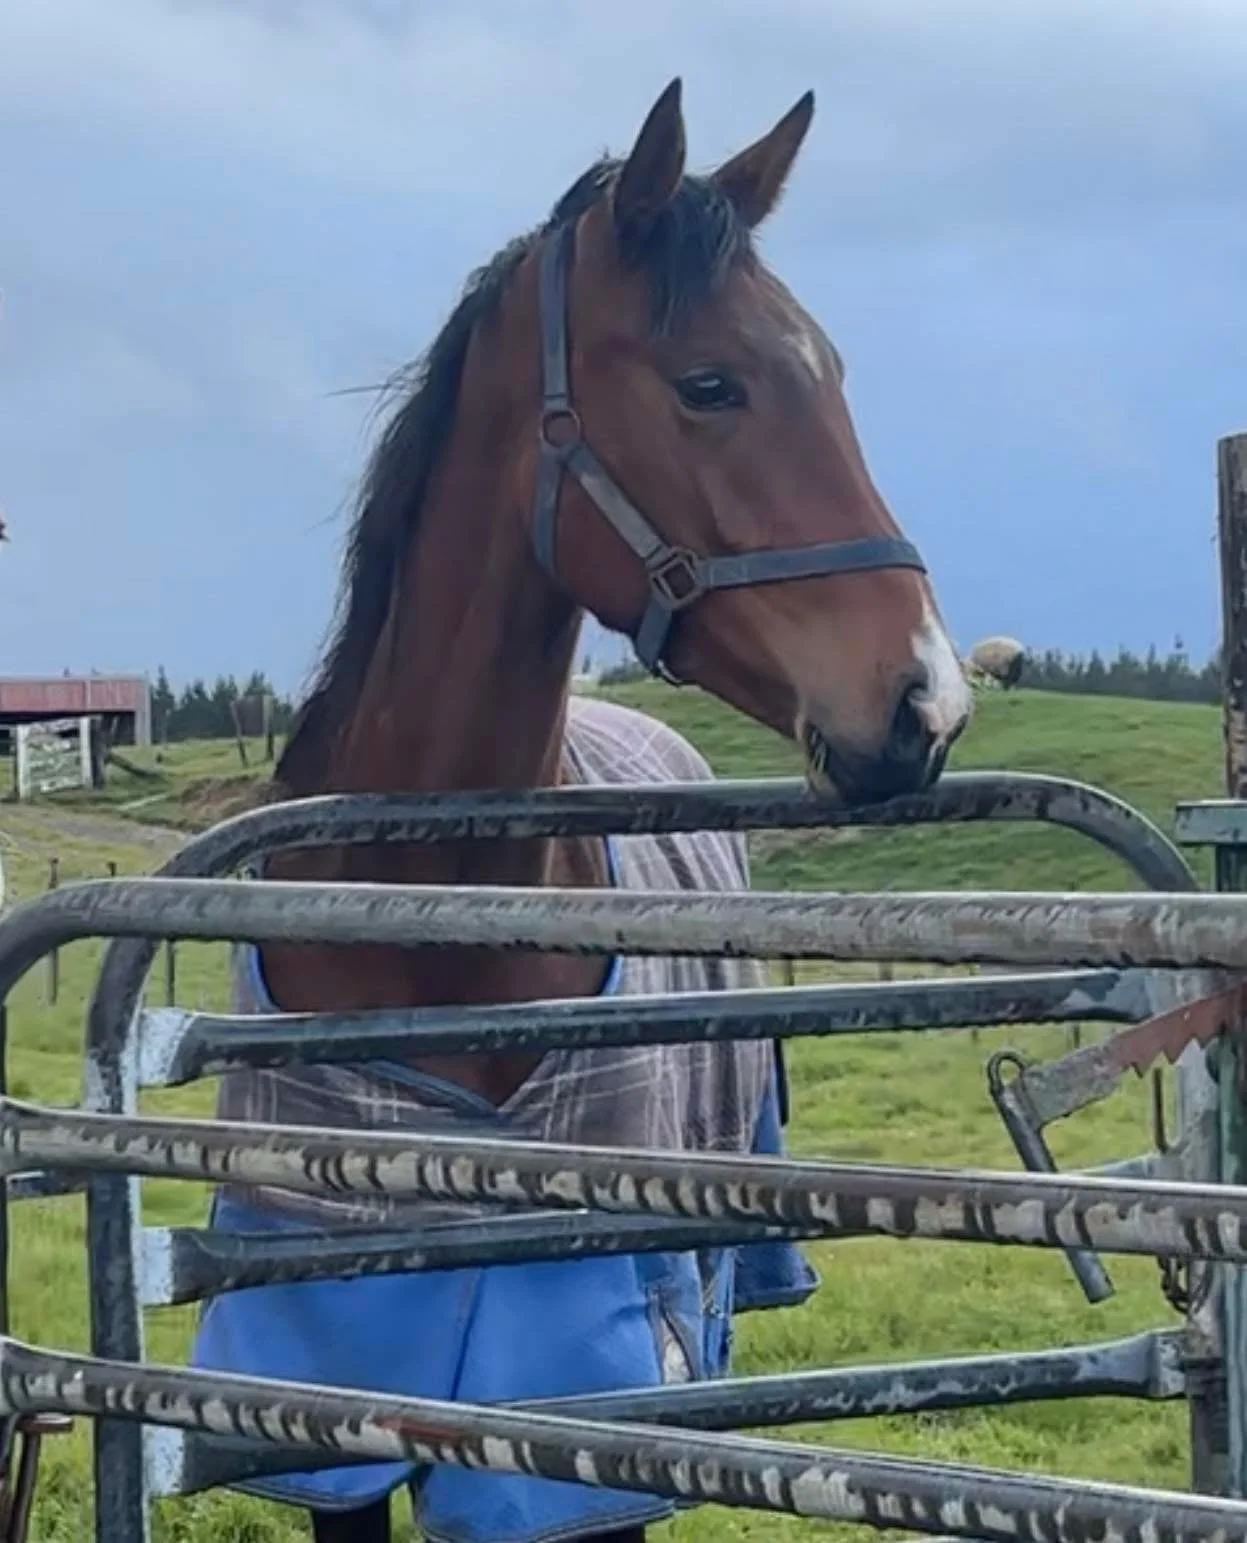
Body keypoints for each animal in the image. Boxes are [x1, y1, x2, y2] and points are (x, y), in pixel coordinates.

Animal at [189, 80, 972, 1543]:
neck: (426, 916)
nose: (924, 701)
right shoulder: (313, 1394)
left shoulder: (576, 1412)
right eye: (708, 383)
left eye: (833, 374)